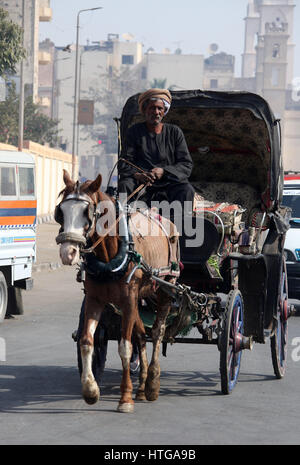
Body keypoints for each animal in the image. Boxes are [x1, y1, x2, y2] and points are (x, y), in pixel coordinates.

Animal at [55, 170, 179, 414]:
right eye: (61, 212)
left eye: (86, 212)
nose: (68, 252)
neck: (109, 257)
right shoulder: (95, 299)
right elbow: (86, 341)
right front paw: (91, 390)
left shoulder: (129, 300)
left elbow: (125, 347)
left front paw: (125, 398)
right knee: (141, 335)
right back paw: (142, 387)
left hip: (165, 288)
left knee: (157, 332)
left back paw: (152, 383)